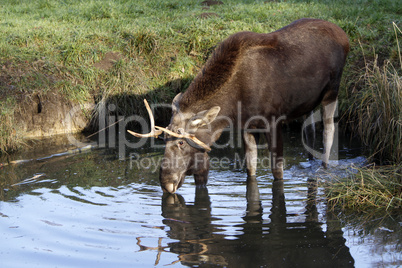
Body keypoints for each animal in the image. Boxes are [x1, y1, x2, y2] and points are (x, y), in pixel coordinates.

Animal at [130, 19, 348, 195]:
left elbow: (277, 172)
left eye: (182, 142)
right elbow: (250, 169)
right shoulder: (247, 126)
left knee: (329, 130)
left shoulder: (273, 121)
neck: (235, 102)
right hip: (308, 102)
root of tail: (344, 36)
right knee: (310, 131)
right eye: (164, 139)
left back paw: (324, 166)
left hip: (332, 90)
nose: (166, 183)